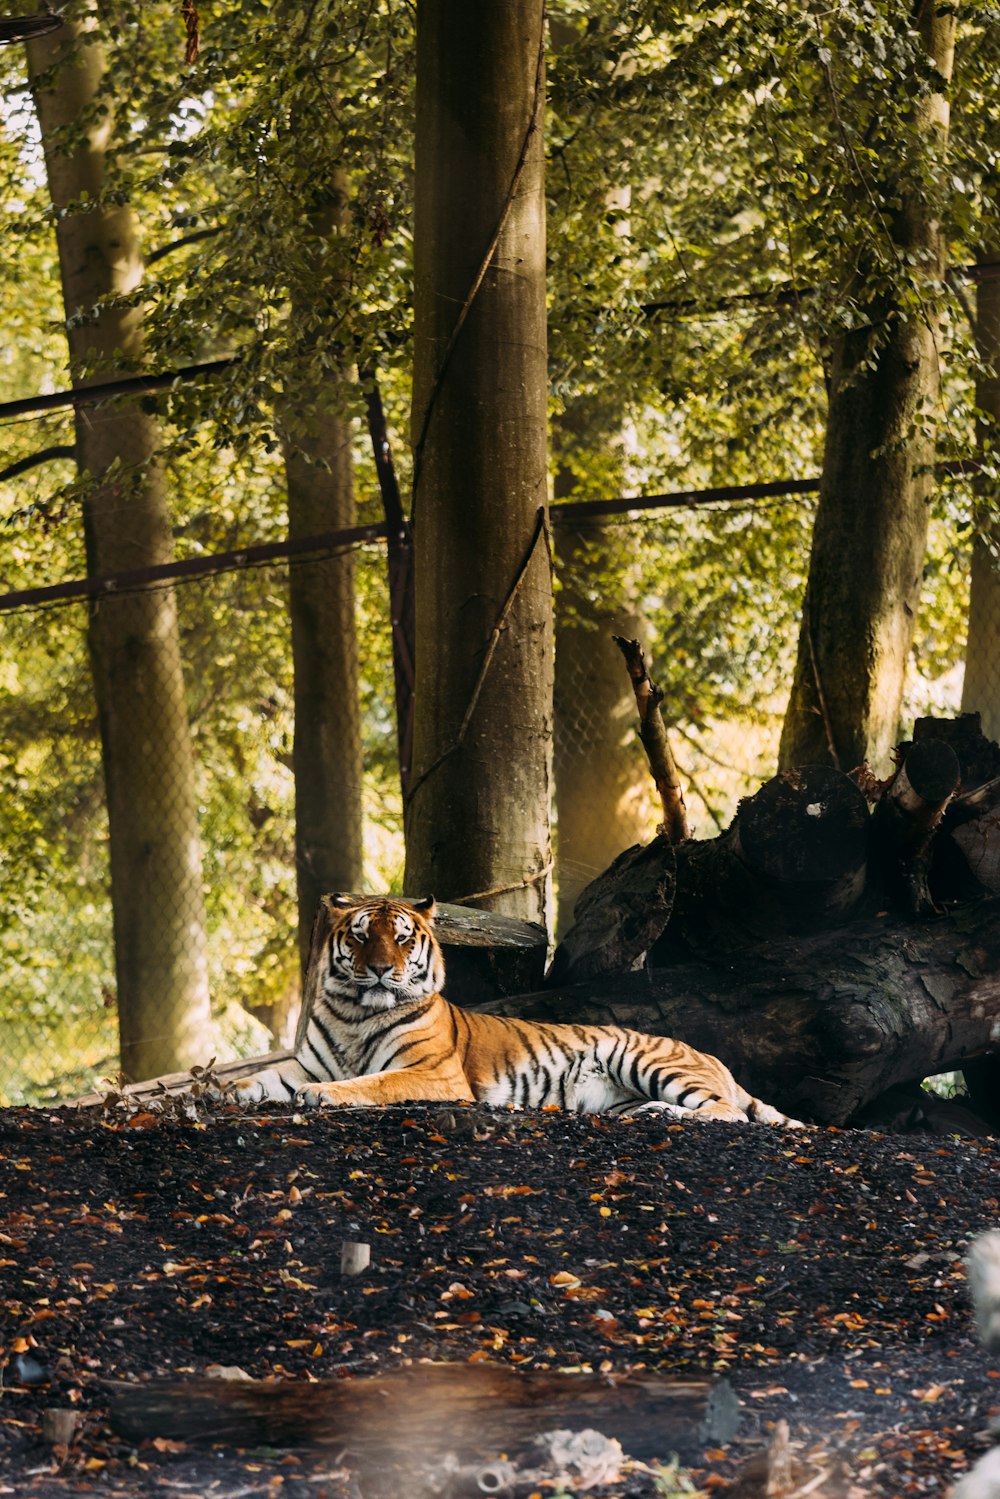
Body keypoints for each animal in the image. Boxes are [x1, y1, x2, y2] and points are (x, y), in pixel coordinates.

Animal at [223, 887, 809, 1127]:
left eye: (403, 939)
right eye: (363, 936)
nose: (383, 969)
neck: (355, 1012)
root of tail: (712, 1057)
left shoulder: (433, 1074)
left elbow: (373, 1082)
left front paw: (324, 1096)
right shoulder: (304, 1062)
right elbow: (255, 1080)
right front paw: (211, 1093)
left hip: (644, 1057)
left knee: (728, 1112)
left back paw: (672, 1114)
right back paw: (654, 1113)